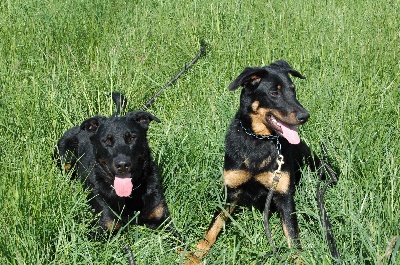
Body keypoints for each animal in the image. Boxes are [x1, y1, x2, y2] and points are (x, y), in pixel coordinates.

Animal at [190, 60, 316, 262]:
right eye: (274, 93)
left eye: (293, 89)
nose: (305, 116)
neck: (259, 139)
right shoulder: (231, 191)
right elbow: (212, 228)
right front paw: (194, 255)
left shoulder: (284, 196)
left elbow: (293, 239)